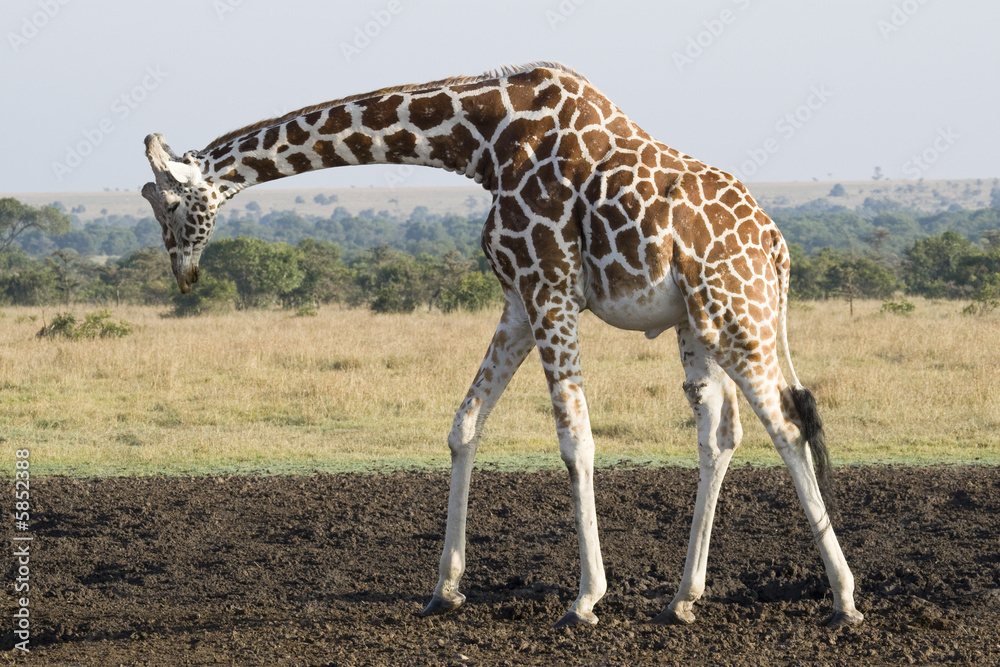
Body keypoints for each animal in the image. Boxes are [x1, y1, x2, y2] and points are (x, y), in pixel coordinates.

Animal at [141, 62, 863, 629]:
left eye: (169, 205)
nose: (184, 273)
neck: (483, 142)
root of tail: (779, 250)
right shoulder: (517, 300)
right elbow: (464, 424)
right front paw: (444, 589)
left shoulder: (550, 288)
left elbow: (575, 440)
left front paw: (585, 599)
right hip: (698, 324)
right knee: (720, 432)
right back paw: (683, 598)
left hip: (738, 313)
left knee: (786, 426)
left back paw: (844, 598)